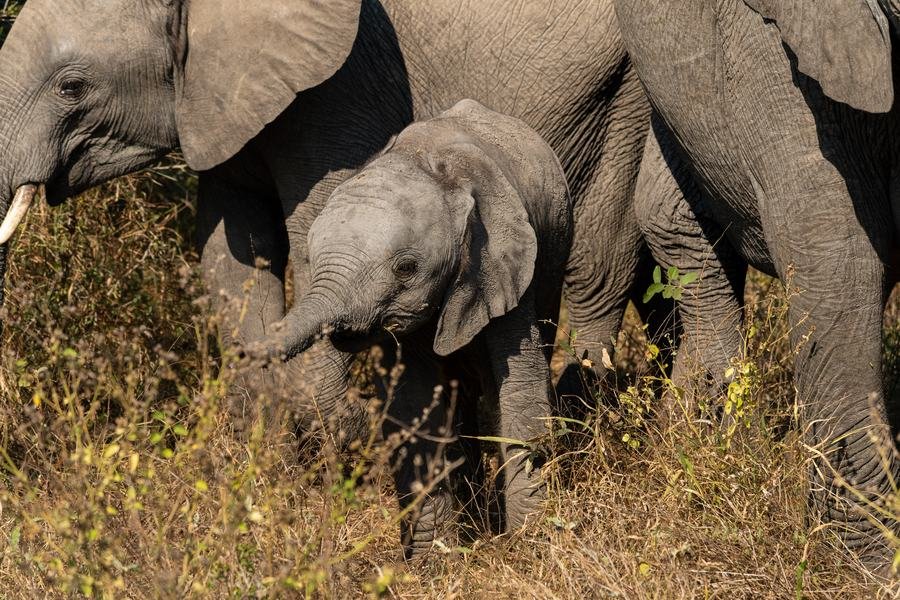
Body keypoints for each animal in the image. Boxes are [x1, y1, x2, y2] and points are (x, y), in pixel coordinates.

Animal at [0, 0, 651, 445]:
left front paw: (341, 425)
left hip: (629, 95)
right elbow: (231, 256)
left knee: (599, 262)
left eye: (71, 86)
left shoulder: (340, 89)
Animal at [254, 99, 571, 557]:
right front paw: (433, 560)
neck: (431, 169)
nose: (244, 351)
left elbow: (520, 391)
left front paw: (530, 545)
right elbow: (414, 402)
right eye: (311, 260)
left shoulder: (507, 265)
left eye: (406, 268)